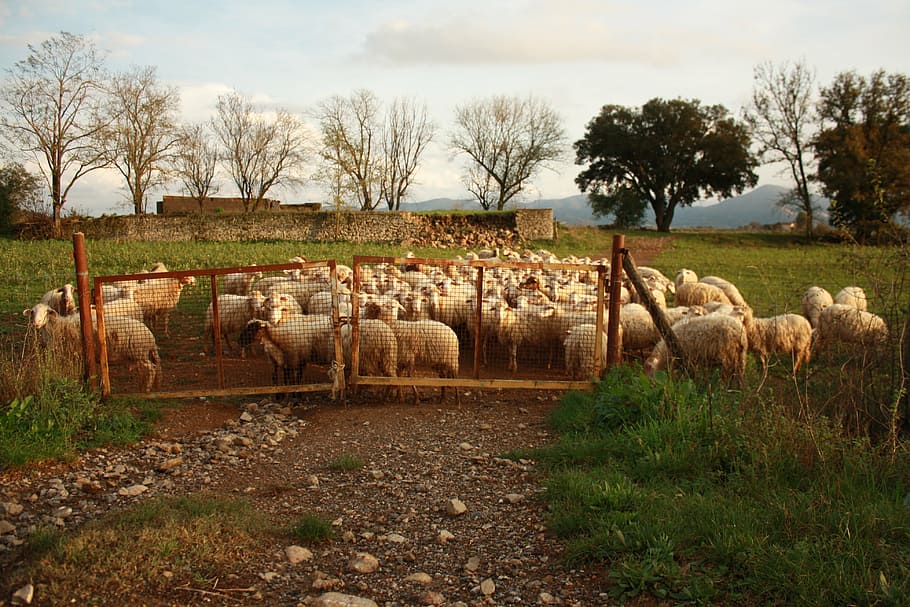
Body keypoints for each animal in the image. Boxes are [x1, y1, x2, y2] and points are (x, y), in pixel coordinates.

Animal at [25, 302, 161, 392]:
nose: (36, 323)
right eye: (32, 312)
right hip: (137, 356)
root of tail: (151, 337)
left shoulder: (77, 354)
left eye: (47, 312)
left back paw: (147, 389)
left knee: (151, 369)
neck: (59, 327)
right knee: (144, 371)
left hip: (139, 353)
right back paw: (142, 387)